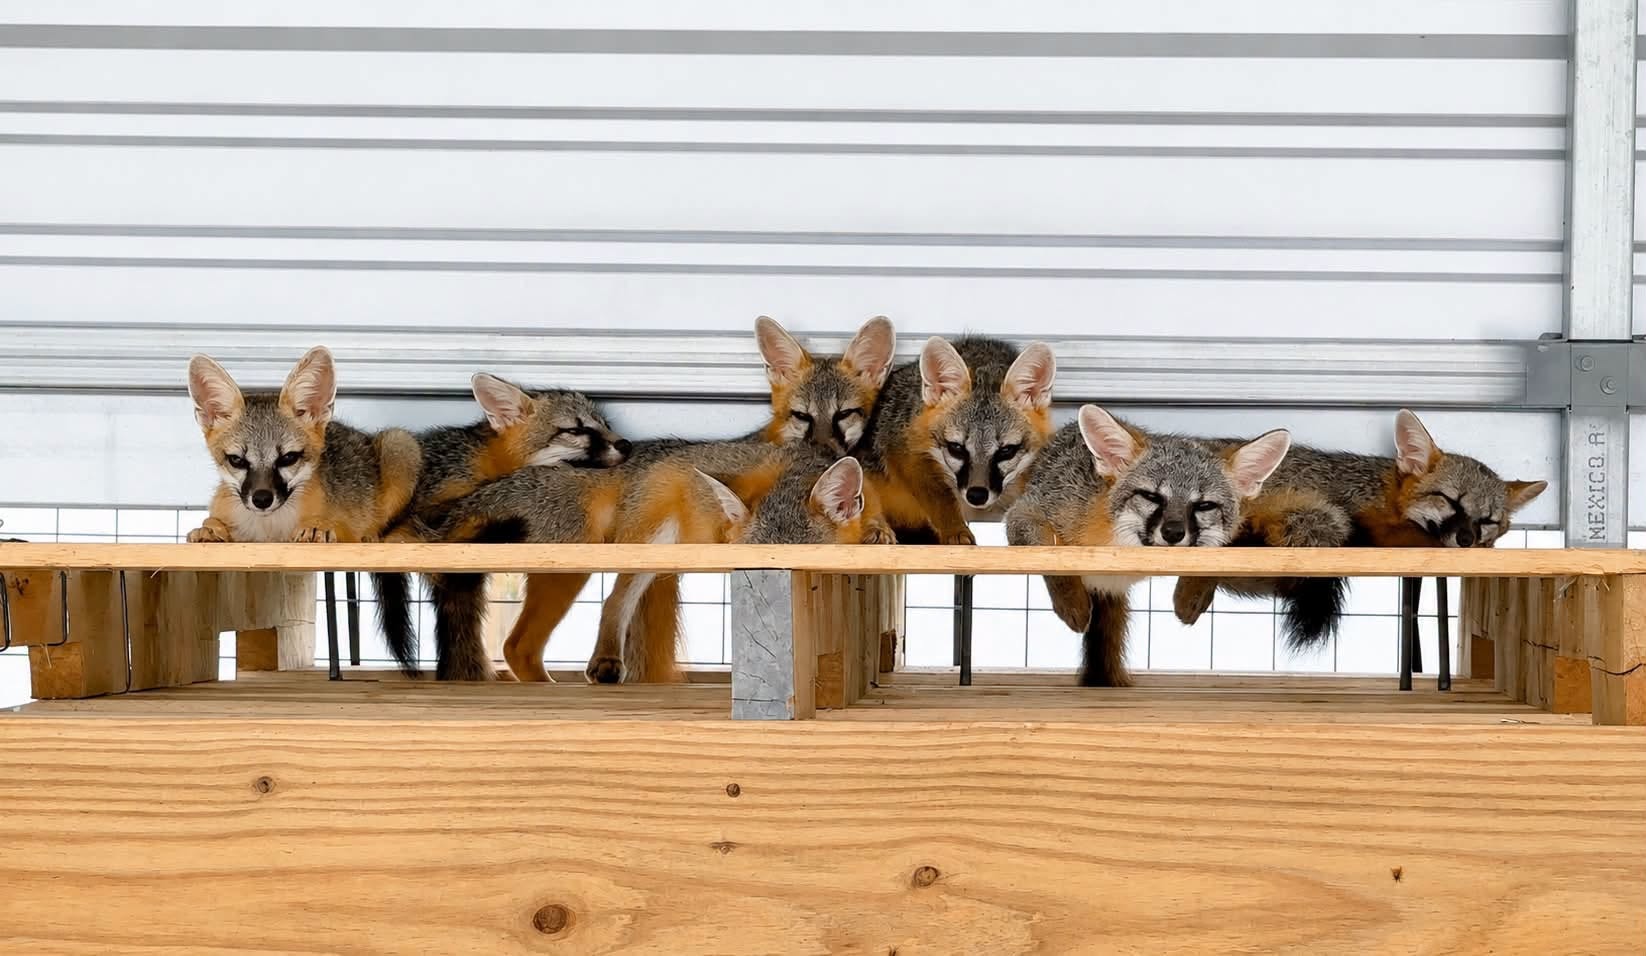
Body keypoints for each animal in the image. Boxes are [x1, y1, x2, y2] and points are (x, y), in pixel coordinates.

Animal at [185, 347, 423, 545]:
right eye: (236, 460)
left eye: (288, 458)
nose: (262, 499)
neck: (271, 534)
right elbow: (213, 522)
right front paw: (209, 530)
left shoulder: (347, 528)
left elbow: (338, 528)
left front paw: (318, 527)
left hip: (399, 444)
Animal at [369, 372, 631, 676]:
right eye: (575, 430)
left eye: (606, 425)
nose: (626, 444)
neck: (486, 463)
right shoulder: (434, 505)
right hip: (399, 447)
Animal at [858, 335, 1057, 546]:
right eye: (956, 448)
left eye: (1006, 451)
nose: (976, 495)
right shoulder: (909, 455)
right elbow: (941, 498)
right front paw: (955, 530)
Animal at [1004, 405, 1291, 687]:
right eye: (1151, 496)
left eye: (1204, 505)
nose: (1173, 532)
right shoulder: (1026, 512)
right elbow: (1049, 554)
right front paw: (1072, 604)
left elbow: (1216, 552)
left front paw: (1191, 595)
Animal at [1171, 408, 1547, 651]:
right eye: (1450, 501)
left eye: (1487, 521)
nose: (1466, 540)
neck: (1383, 490)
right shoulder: (1370, 522)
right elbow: (1421, 536)